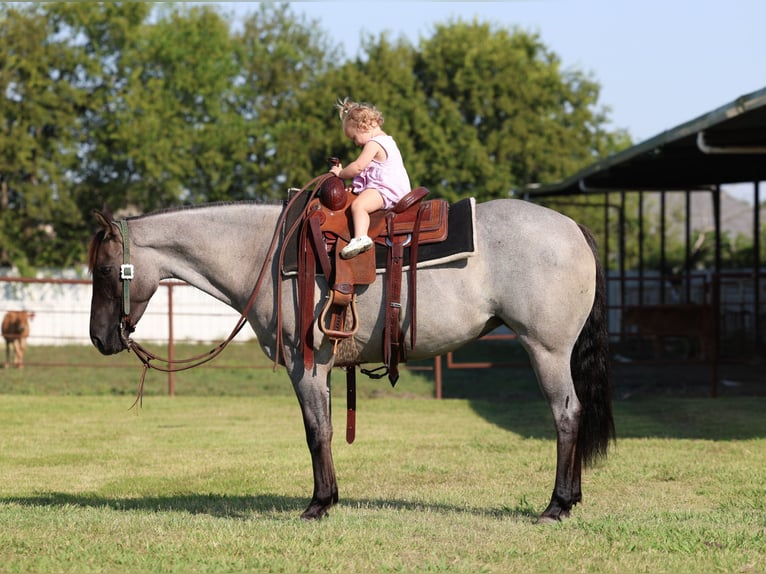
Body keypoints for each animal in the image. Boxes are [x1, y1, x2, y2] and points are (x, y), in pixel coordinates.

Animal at [88, 195, 615, 523]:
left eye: (106, 270)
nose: (99, 339)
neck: (265, 254)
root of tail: (573, 227)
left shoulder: (306, 367)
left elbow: (315, 431)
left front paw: (319, 503)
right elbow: (322, 430)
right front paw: (328, 499)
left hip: (546, 350)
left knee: (567, 415)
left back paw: (557, 505)